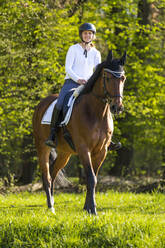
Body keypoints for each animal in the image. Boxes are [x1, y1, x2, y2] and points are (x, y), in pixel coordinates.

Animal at [32, 50, 127, 215]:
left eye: (122, 78)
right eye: (107, 77)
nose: (117, 107)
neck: (96, 113)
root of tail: (41, 104)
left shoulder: (101, 151)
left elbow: (94, 178)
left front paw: (87, 208)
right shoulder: (84, 148)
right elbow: (91, 177)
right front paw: (92, 209)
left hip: (65, 153)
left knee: (53, 172)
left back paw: (53, 202)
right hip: (42, 147)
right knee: (47, 176)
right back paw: (50, 207)